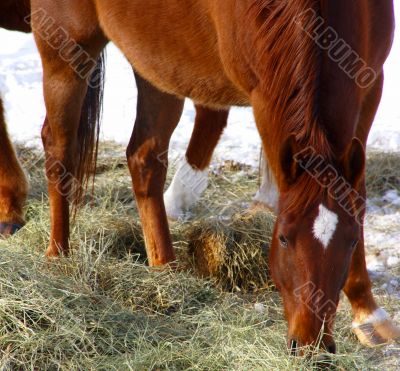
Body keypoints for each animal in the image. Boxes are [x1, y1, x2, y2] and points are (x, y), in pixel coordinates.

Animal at [29, 0, 398, 354]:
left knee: (144, 159)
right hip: (67, 51)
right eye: (282, 239)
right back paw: (58, 255)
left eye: (351, 242)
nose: (310, 345)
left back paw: (165, 269)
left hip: (154, 65)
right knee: (59, 148)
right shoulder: (264, 99)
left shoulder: (369, 86)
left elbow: (357, 198)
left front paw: (367, 312)